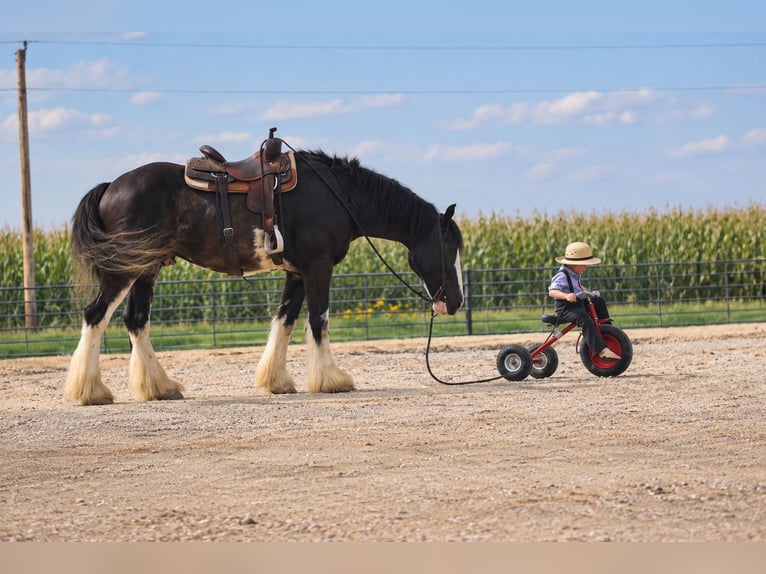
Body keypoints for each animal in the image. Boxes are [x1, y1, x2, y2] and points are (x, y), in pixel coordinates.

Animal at [65, 143, 464, 405]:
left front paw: (277, 381)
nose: (456, 302)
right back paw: (90, 391)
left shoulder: (298, 273)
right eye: (449, 248)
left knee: (136, 321)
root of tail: (111, 187)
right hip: (124, 270)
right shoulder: (318, 267)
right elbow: (318, 320)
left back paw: (159, 388)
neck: (337, 194)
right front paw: (331, 379)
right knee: (96, 316)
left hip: (146, 270)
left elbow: (284, 320)